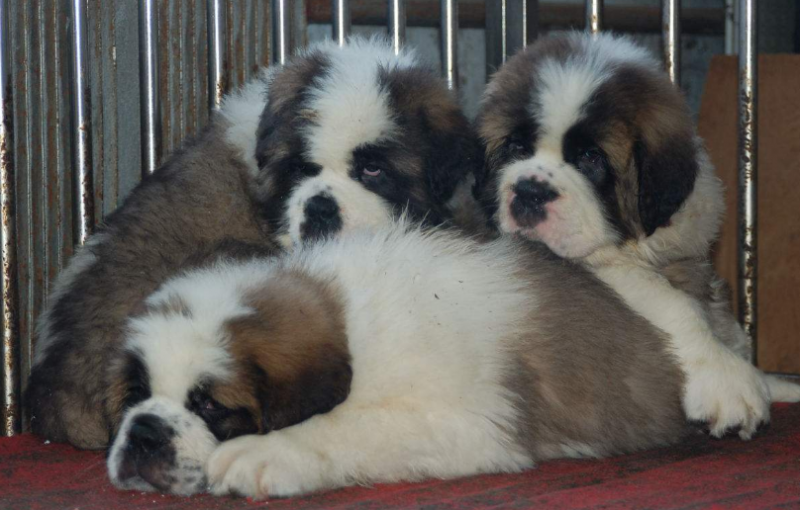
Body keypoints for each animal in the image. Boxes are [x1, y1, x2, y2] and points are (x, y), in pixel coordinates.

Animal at [104, 221, 688, 496]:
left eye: (210, 407)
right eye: (137, 395)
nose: (145, 433)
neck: (348, 321)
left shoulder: (465, 421)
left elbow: (346, 426)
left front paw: (265, 453)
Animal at [472, 31, 800, 440]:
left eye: (591, 158)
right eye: (516, 147)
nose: (530, 191)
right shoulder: (606, 268)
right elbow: (674, 302)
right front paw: (728, 380)